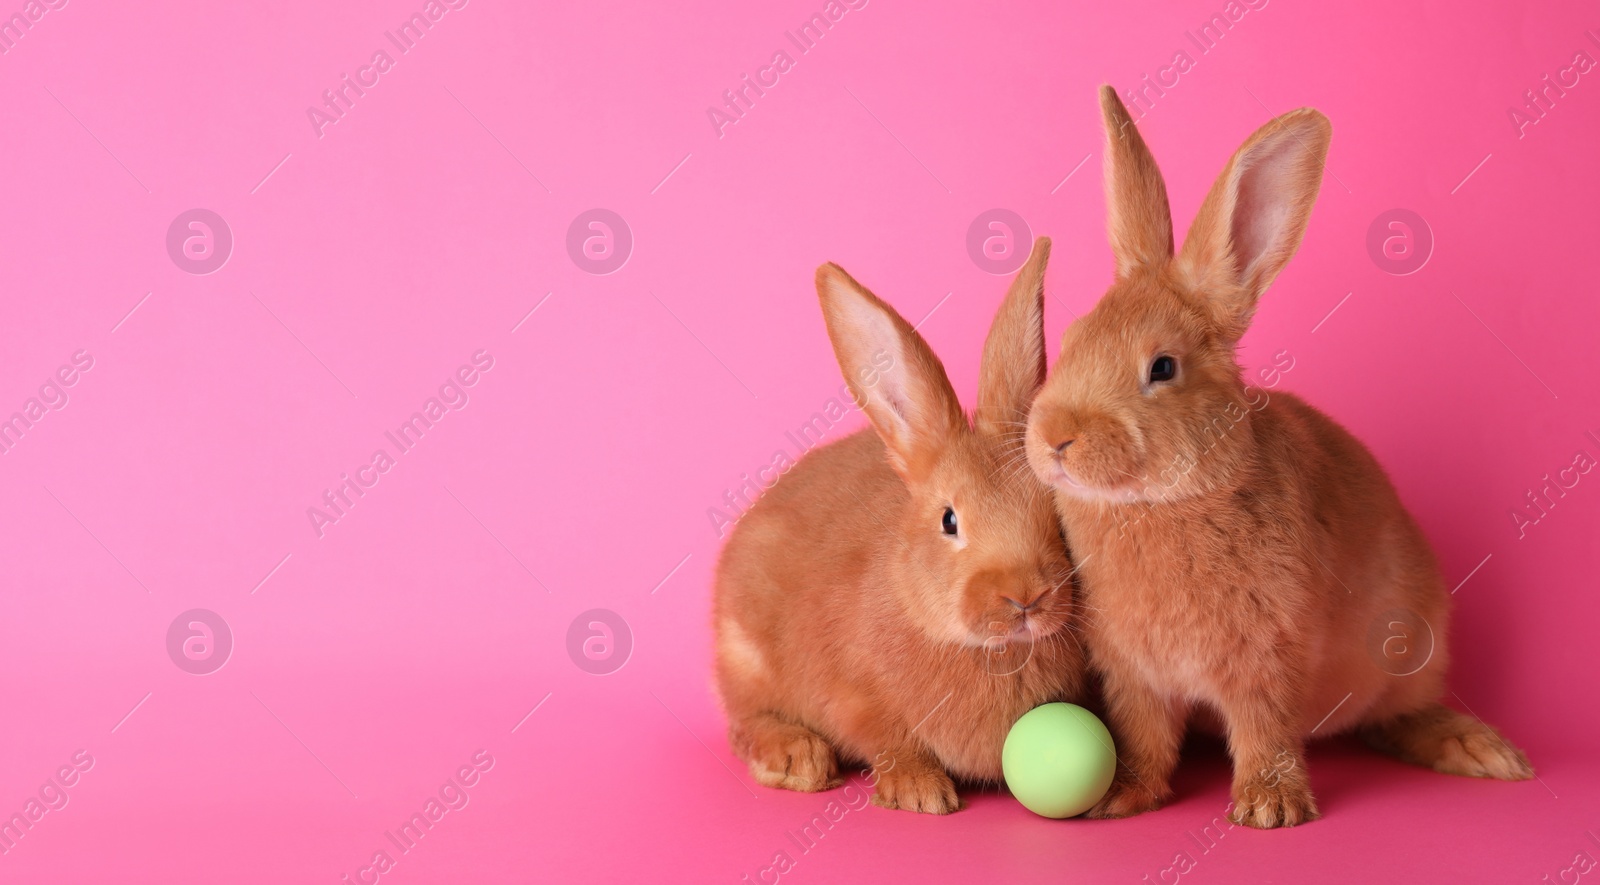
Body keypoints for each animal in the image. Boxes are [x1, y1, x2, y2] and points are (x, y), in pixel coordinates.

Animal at [713, 238, 1088, 809]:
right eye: (949, 521)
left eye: (1054, 513)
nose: (1026, 595)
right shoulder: (854, 698)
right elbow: (889, 742)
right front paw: (921, 792)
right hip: (745, 660)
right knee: (744, 722)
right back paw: (798, 760)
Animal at [1024, 86, 1536, 825]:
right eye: (1071, 339)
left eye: (1162, 367)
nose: (1055, 438)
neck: (1166, 500)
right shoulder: (1134, 676)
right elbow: (1145, 735)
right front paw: (1123, 796)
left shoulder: (1268, 657)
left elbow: (1263, 728)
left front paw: (1270, 808)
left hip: (1415, 645)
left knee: (1398, 714)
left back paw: (1479, 750)